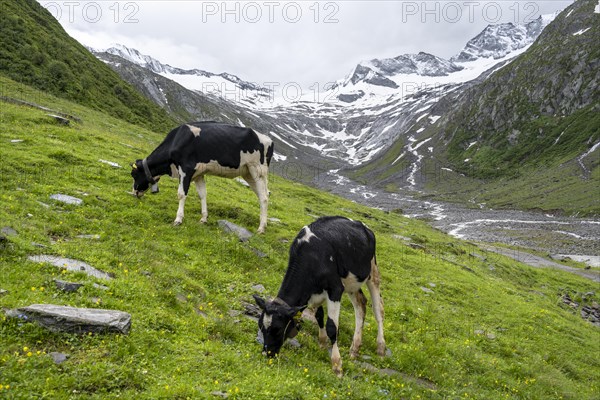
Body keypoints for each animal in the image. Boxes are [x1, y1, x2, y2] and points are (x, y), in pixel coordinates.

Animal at [131, 122, 274, 234]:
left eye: (134, 174)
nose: (134, 192)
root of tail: (269, 139)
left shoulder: (186, 169)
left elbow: (181, 194)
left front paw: (178, 219)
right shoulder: (198, 174)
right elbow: (202, 194)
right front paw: (203, 219)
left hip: (257, 169)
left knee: (264, 198)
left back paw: (261, 228)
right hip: (248, 173)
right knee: (263, 194)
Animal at [253, 216, 384, 376]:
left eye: (277, 329)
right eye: (260, 326)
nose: (267, 353)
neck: (311, 255)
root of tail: (361, 225)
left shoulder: (335, 288)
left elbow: (332, 327)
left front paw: (337, 365)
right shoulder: (313, 293)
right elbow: (319, 316)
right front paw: (322, 343)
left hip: (372, 271)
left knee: (378, 310)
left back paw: (381, 347)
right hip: (352, 282)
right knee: (361, 305)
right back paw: (354, 349)